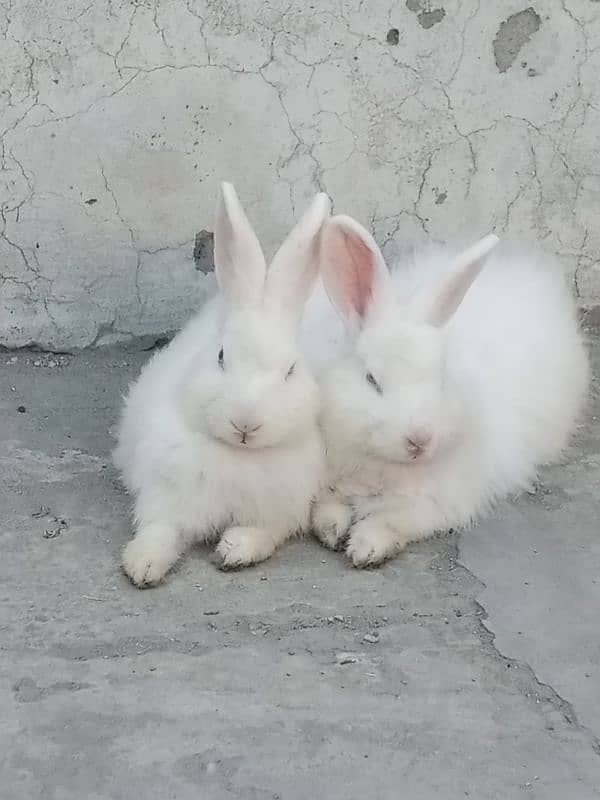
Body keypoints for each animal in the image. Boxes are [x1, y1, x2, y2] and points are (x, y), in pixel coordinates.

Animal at [112, 184, 328, 584]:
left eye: (290, 370)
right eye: (221, 356)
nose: (245, 423)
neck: (237, 455)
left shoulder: (282, 507)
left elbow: (263, 533)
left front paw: (235, 549)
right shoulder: (165, 494)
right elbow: (159, 528)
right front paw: (142, 564)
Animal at [302, 217, 588, 568]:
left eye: (441, 378)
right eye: (372, 380)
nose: (420, 439)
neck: (383, 465)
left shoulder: (434, 505)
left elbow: (390, 522)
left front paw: (365, 549)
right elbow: (327, 508)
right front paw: (331, 531)